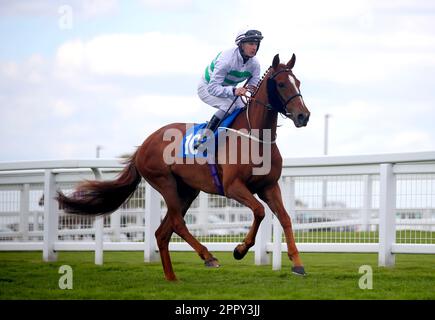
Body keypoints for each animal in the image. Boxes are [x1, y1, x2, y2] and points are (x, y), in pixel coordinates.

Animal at [57, 52, 310, 280]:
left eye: (298, 82)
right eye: (281, 84)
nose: (303, 116)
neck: (255, 137)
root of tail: (143, 145)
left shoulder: (269, 186)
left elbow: (285, 218)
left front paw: (297, 264)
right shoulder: (233, 187)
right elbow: (259, 211)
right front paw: (239, 250)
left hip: (187, 190)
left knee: (162, 232)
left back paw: (172, 277)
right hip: (165, 182)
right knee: (177, 224)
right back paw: (208, 257)